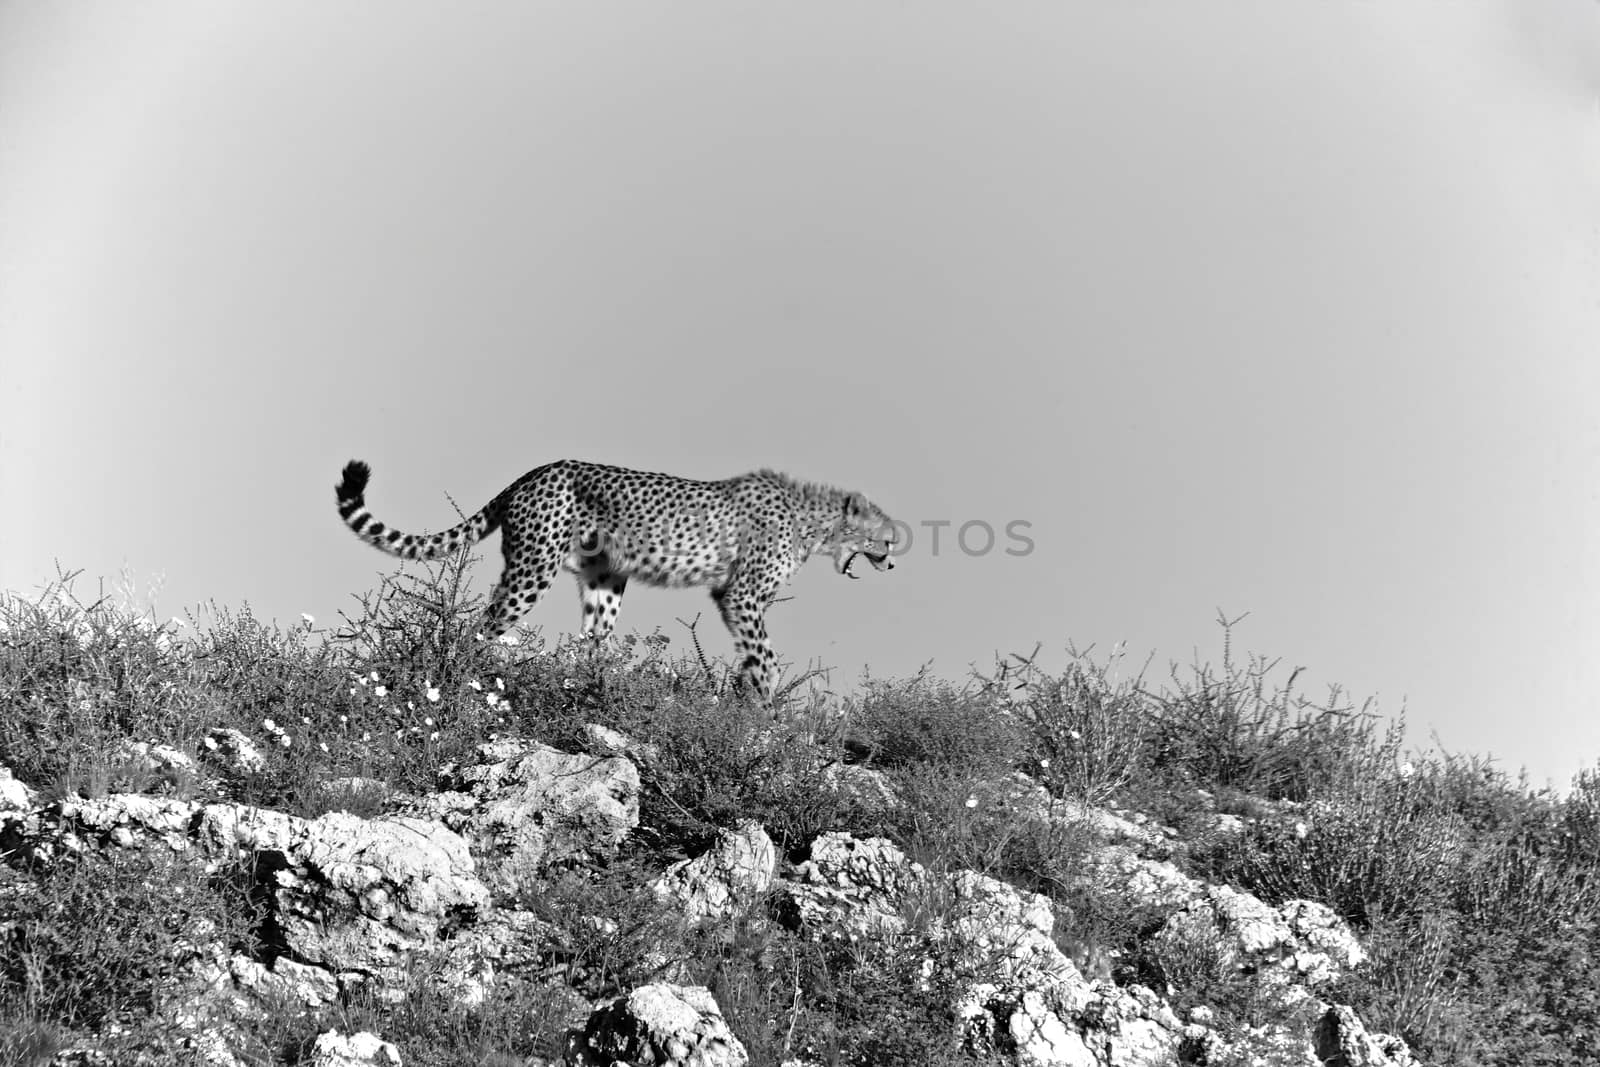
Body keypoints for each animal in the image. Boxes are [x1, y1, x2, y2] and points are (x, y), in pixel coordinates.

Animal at [332, 457, 902, 700]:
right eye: (887, 537)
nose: (894, 562)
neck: (816, 520)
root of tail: (537, 469)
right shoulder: (740, 594)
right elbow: (765, 657)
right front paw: (768, 710)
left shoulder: (730, 595)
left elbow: (755, 654)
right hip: (532, 569)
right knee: (478, 628)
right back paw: (465, 677)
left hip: (605, 578)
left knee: (592, 643)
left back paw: (599, 688)